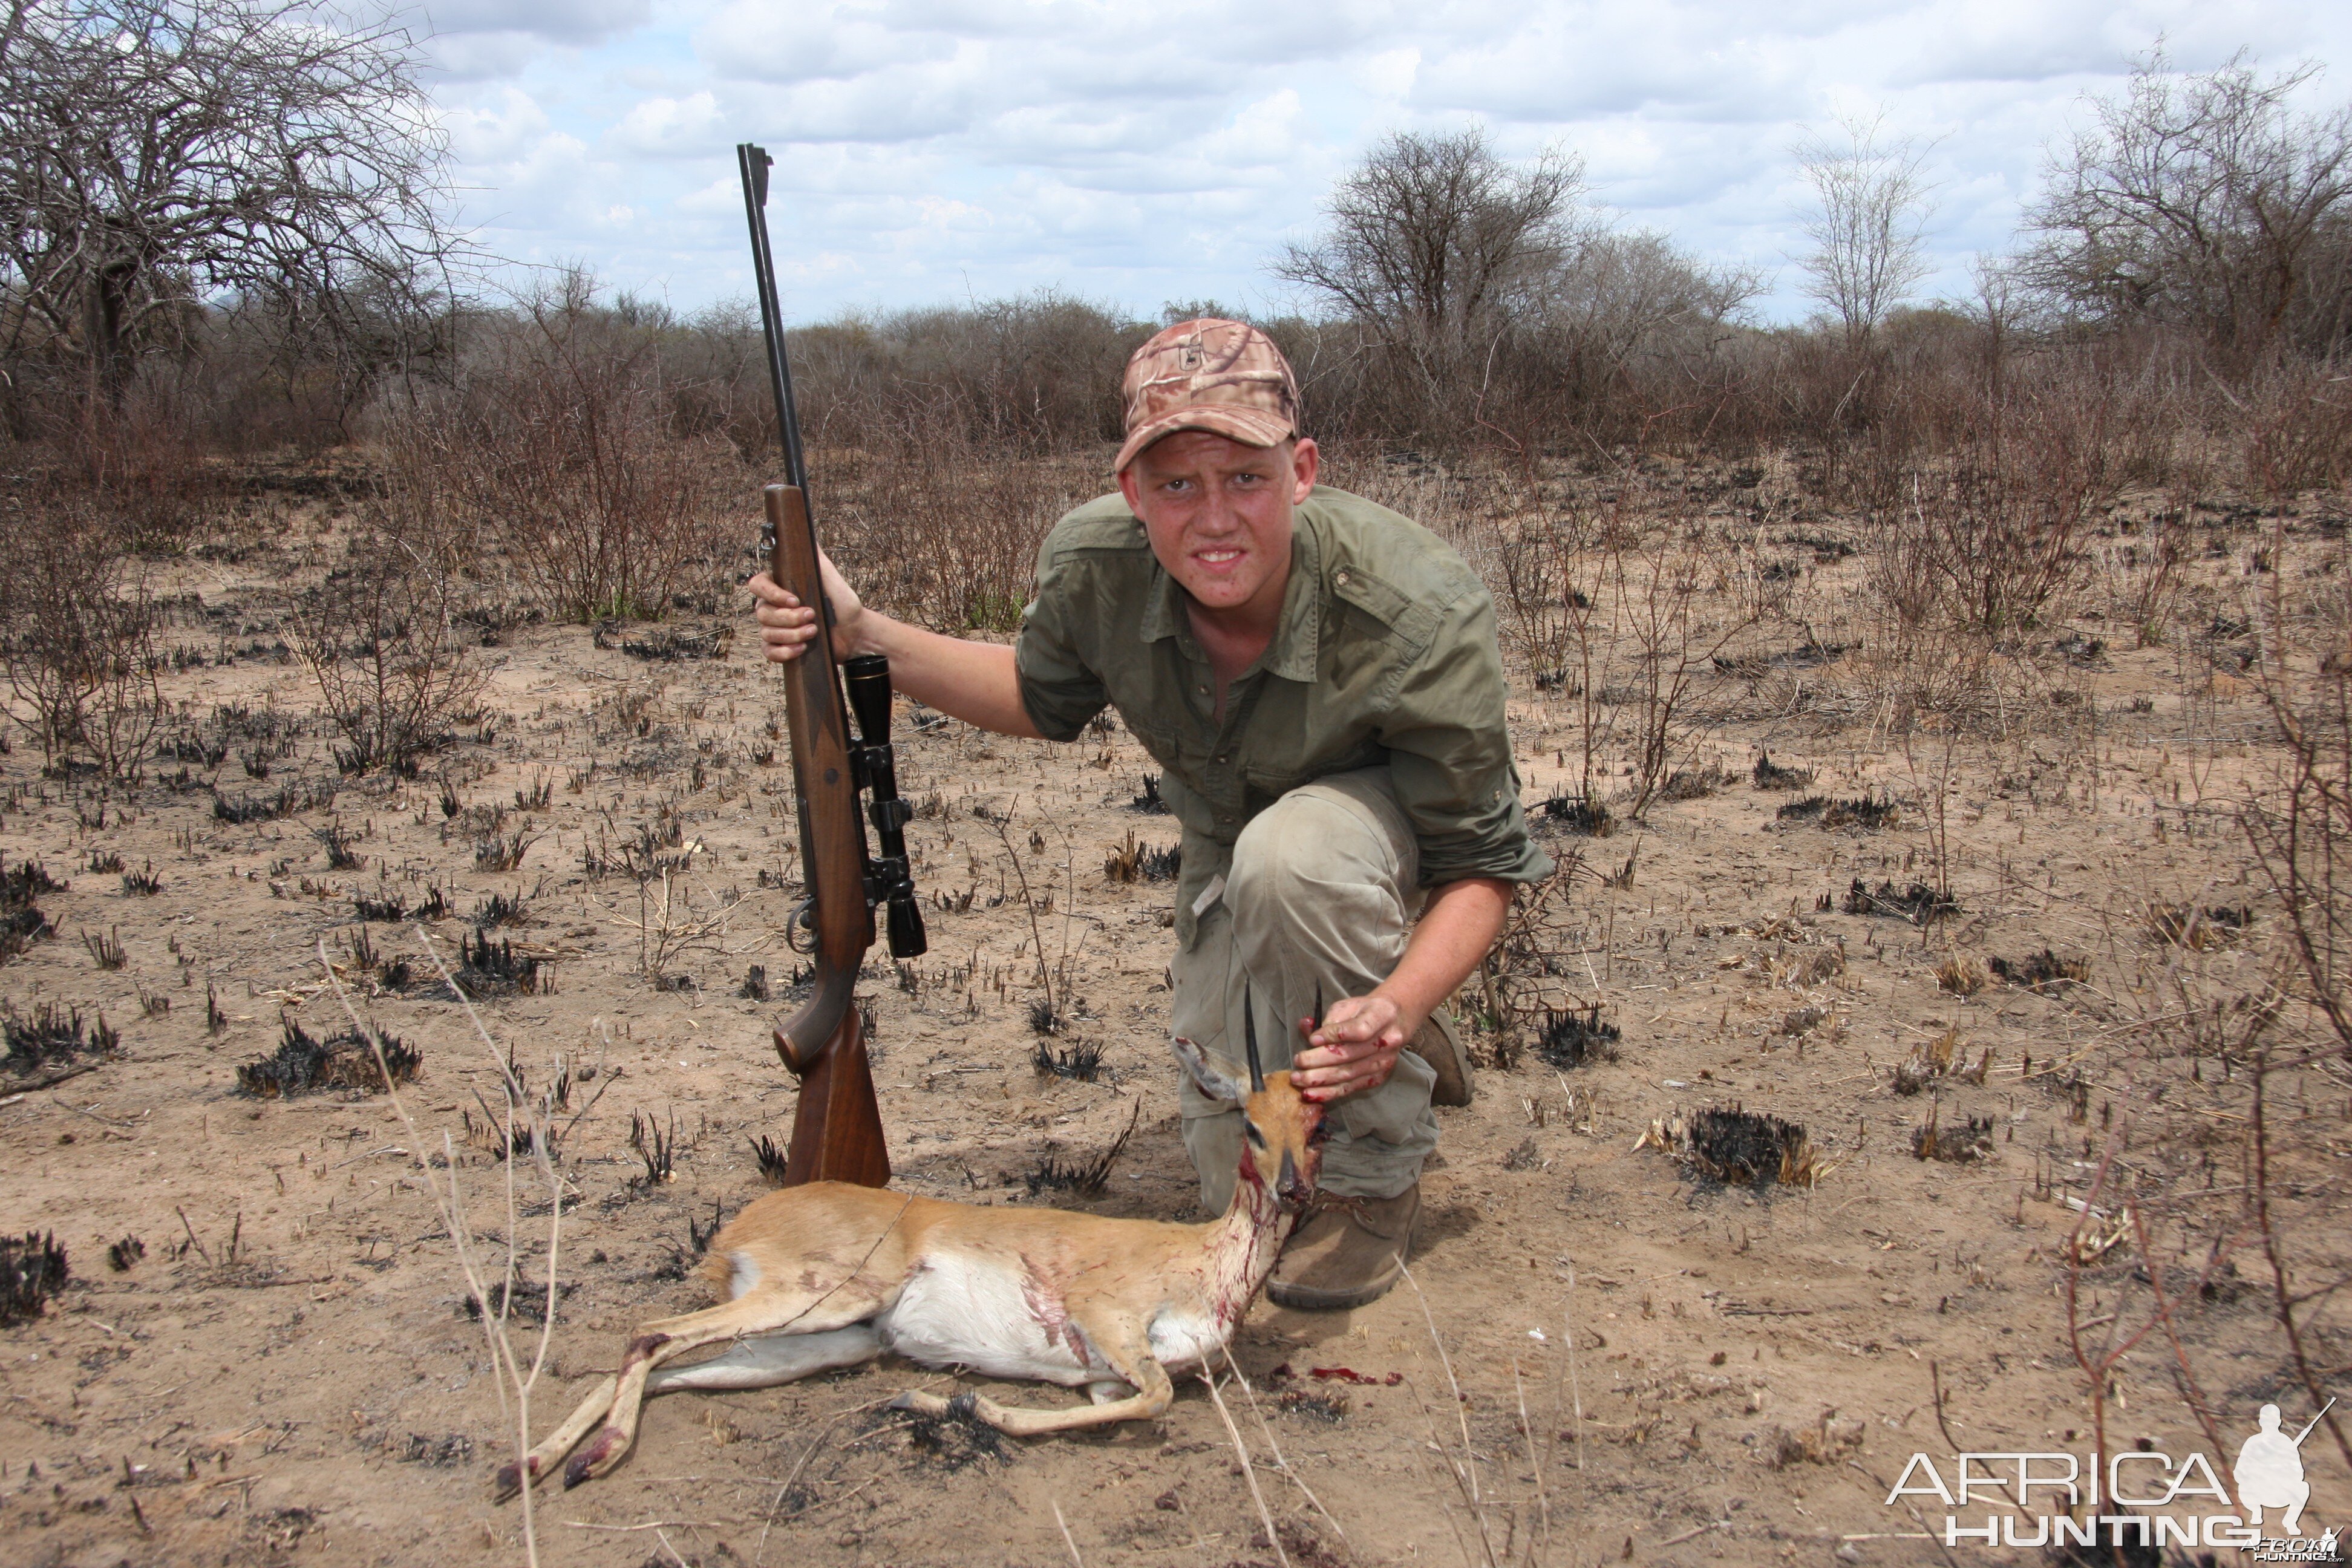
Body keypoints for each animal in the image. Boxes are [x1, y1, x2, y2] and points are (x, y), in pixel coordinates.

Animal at [501, 1020, 1326, 1495]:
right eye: (1251, 1125)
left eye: (1317, 1122)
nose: (1296, 1189)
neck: (1205, 1263)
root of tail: (742, 1227)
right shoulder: (1107, 1322)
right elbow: (1151, 1397)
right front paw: (948, 1402)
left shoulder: (1100, 1377)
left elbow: (1122, 1400)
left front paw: (935, 1402)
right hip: (821, 1299)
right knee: (650, 1335)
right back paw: (590, 1459)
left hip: (822, 1341)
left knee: (667, 1369)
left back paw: (530, 1466)